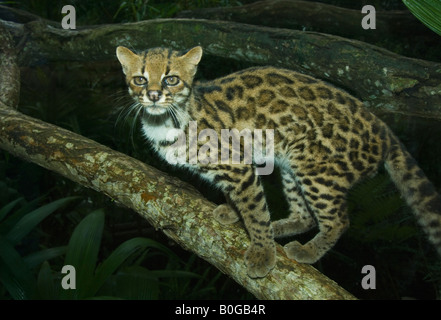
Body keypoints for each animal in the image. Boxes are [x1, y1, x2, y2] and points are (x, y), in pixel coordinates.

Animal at [114, 44, 440, 278]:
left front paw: (262, 253)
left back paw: (307, 250)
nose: (153, 95)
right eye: (140, 79)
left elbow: (255, 211)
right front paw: (233, 212)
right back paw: (280, 228)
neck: (164, 121)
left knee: (339, 220)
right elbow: (246, 204)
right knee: (306, 216)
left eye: (171, 79)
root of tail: (384, 129)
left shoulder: (238, 166)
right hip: (292, 166)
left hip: (314, 168)